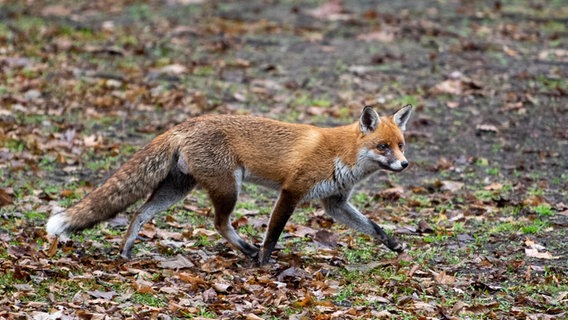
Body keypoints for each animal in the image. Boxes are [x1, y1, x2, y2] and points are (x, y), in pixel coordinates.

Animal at [46, 105, 412, 264]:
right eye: (383, 147)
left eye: (401, 145)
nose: (404, 165)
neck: (342, 154)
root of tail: (187, 123)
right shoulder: (292, 191)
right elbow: (273, 234)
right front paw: (264, 262)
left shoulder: (335, 202)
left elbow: (373, 227)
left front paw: (393, 244)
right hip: (228, 188)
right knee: (219, 223)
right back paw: (247, 250)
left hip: (178, 189)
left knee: (139, 213)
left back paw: (126, 251)